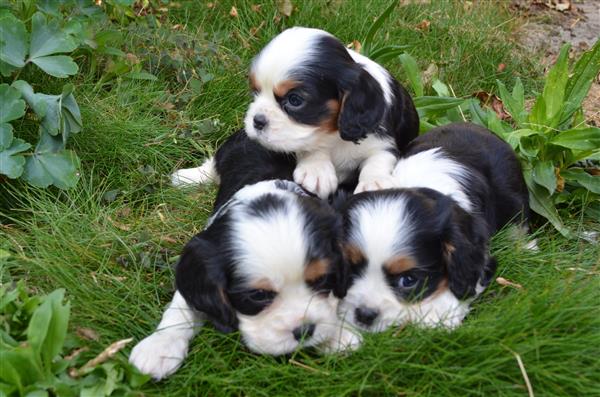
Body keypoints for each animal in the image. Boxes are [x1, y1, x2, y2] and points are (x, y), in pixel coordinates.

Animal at [130, 132, 360, 378]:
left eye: (323, 279)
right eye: (258, 295)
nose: (305, 330)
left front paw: (338, 333)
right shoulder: (203, 259)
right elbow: (183, 305)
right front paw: (159, 346)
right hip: (230, 147)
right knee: (212, 165)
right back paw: (186, 178)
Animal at [171, 26, 420, 198]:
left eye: (294, 100)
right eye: (255, 92)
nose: (257, 121)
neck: (333, 134)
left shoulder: (383, 139)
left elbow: (379, 158)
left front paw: (374, 183)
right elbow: (308, 146)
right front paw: (316, 170)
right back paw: (187, 177)